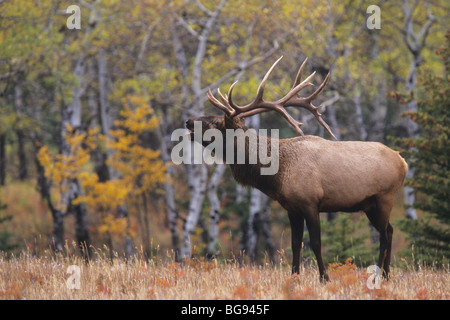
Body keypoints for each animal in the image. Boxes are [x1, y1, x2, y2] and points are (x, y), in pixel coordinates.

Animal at [185, 57, 406, 280]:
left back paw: (379, 275)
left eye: (215, 121)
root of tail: (402, 161)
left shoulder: (311, 202)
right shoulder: (292, 207)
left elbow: (315, 243)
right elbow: (295, 244)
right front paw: (294, 277)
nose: (188, 121)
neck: (277, 175)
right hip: (369, 205)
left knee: (384, 235)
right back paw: (386, 275)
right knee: (390, 230)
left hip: (385, 197)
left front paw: (324, 278)